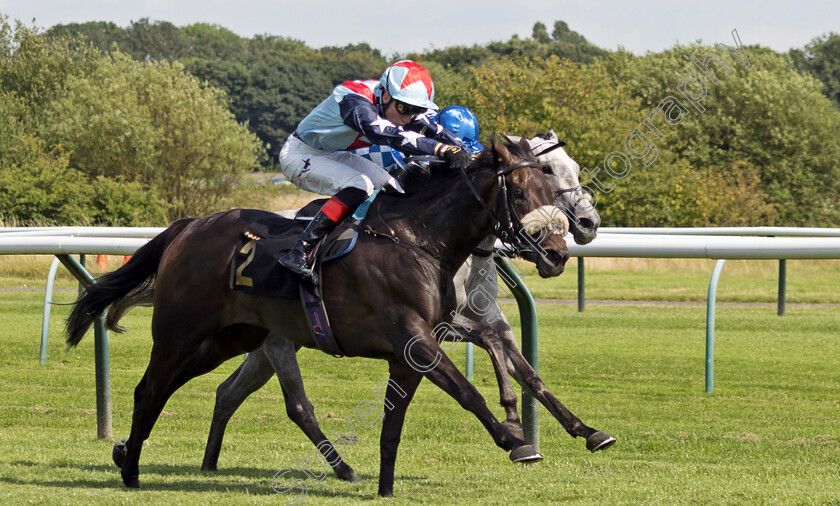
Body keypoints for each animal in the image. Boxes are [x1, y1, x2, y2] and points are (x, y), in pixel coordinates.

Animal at [65, 136, 588, 496]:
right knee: (156, 389)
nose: (560, 251)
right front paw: (515, 440)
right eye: (519, 192)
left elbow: (397, 423)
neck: (418, 240)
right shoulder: (418, 338)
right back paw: (132, 470)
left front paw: (386, 488)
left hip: (229, 338)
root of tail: (189, 225)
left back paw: (130, 453)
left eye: (548, 183)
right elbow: (468, 392)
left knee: (197, 389)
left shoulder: (415, 348)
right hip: (182, 333)